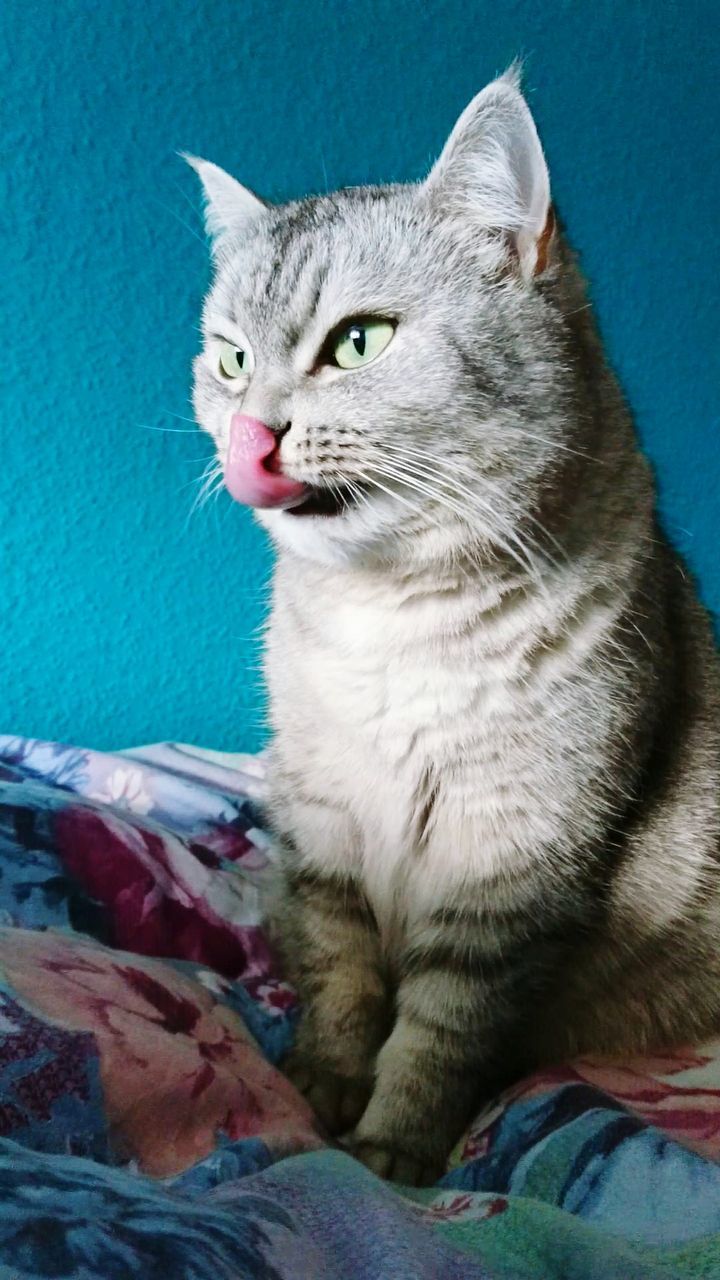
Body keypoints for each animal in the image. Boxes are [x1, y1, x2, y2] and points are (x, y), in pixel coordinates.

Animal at [185, 70, 717, 1182]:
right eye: (231, 359)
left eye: (359, 342)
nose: (250, 433)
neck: (387, 617)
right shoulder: (323, 826)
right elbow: (340, 974)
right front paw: (322, 1084)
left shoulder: (511, 854)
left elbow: (441, 1023)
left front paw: (390, 1145)